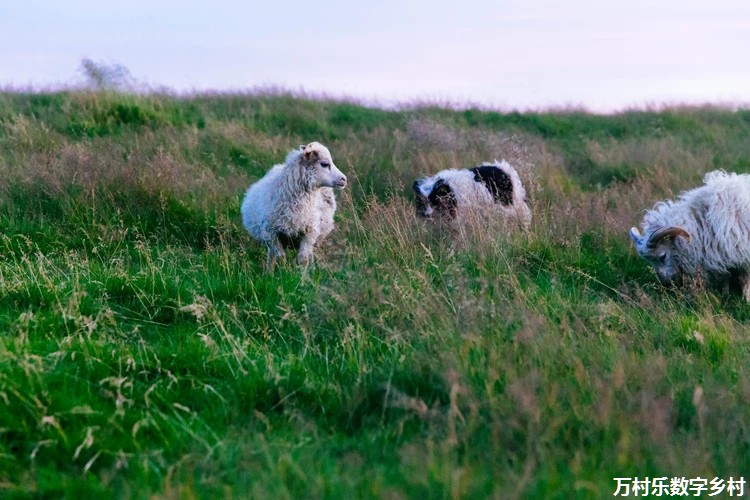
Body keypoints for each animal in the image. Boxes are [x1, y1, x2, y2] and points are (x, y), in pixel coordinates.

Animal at [242, 142, 348, 270]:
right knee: (271, 256)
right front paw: (281, 273)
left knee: (309, 255)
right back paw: (269, 271)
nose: (344, 179)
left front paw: (302, 275)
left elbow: (303, 259)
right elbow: (280, 258)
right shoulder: (272, 234)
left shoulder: (309, 233)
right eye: (324, 164)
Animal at [632, 170, 750, 298]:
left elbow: (745, 281)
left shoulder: (741, 255)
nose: (666, 283)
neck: (701, 223)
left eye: (662, 256)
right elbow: (726, 278)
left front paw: (745, 299)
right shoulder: (722, 256)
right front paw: (726, 295)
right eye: (650, 261)